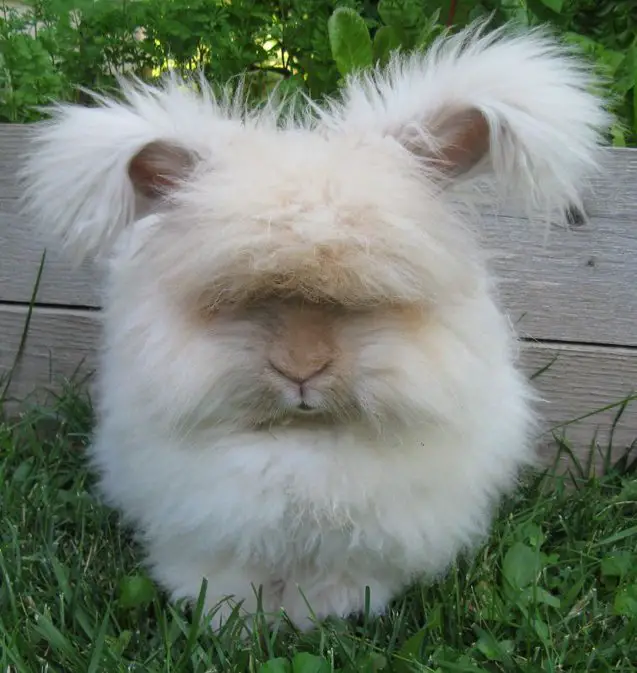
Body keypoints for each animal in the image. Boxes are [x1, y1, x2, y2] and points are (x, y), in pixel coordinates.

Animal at [18, 21, 608, 632]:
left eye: (371, 298)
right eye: (235, 299)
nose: (301, 370)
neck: (306, 441)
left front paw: (327, 613)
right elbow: (223, 573)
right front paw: (232, 618)